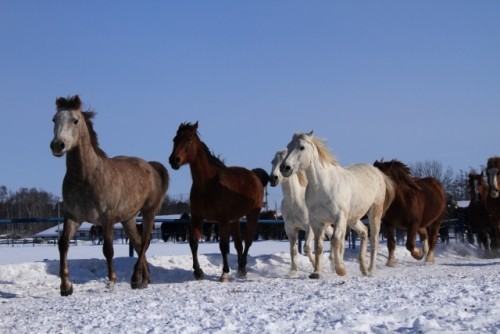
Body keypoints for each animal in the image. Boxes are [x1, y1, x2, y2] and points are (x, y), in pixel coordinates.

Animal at [50, 95, 170, 296]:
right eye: (54, 119)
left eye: (75, 120)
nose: (57, 145)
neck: (86, 176)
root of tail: (151, 166)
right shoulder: (73, 216)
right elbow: (63, 244)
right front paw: (66, 287)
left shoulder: (107, 218)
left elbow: (108, 249)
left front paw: (111, 281)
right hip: (128, 219)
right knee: (138, 243)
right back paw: (144, 279)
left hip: (148, 213)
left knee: (145, 242)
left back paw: (135, 278)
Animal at [168, 121, 270, 280]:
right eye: (175, 140)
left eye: (189, 139)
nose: (174, 160)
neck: (208, 185)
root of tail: (255, 176)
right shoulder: (197, 217)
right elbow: (193, 242)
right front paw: (198, 272)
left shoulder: (222, 221)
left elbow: (223, 246)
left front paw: (225, 273)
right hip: (235, 219)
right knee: (239, 244)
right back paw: (240, 269)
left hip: (253, 213)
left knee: (247, 241)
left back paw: (243, 268)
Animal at [280, 132, 392, 278]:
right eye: (288, 146)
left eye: (302, 147)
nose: (284, 168)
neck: (323, 186)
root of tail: (377, 172)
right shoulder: (316, 221)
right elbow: (319, 246)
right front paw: (316, 272)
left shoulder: (339, 218)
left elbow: (335, 240)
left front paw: (340, 269)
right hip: (353, 218)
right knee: (363, 232)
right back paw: (363, 268)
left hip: (374, 213)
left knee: (374, 240)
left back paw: (371, 270)